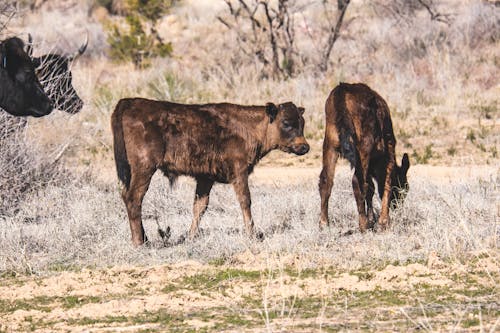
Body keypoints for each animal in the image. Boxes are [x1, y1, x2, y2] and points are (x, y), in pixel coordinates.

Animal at [112, 97, 308, 245]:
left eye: (302, 123)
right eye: (286, 123)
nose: (304, 147)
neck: (250, 127)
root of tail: (129, 102)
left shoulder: (205, 178)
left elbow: (199, 206)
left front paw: (191, 237)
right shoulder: (239, 172)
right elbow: (245, 201)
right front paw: (252, 235)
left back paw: (144, 238)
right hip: (144, 168)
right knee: (134, 198)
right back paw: (140, 242)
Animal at [318, 83, 408, 231]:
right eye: (403, 187)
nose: (397, 205)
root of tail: (341, 90)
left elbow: (371, 187)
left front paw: (372, 219)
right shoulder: (389, 148)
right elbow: (385, 183)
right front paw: (383, 222)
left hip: (330, 144)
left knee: (326, 180)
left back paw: (324, 223)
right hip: (364, 145)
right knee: (357, 181)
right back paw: (363, 225)